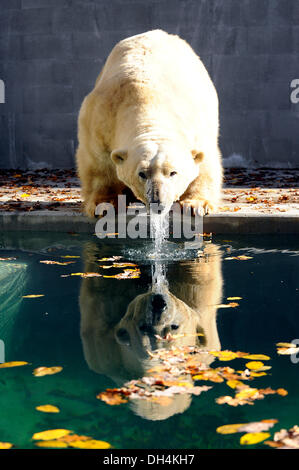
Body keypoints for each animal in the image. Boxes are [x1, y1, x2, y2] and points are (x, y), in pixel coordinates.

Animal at [77, 30, 223, 218]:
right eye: (142, 173)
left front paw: (195, 205)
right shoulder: (100, 117)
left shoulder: (196, 120)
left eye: (173, 172)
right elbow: (98, 163)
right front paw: (104, 204)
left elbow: (204, 163)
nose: (157, 203)